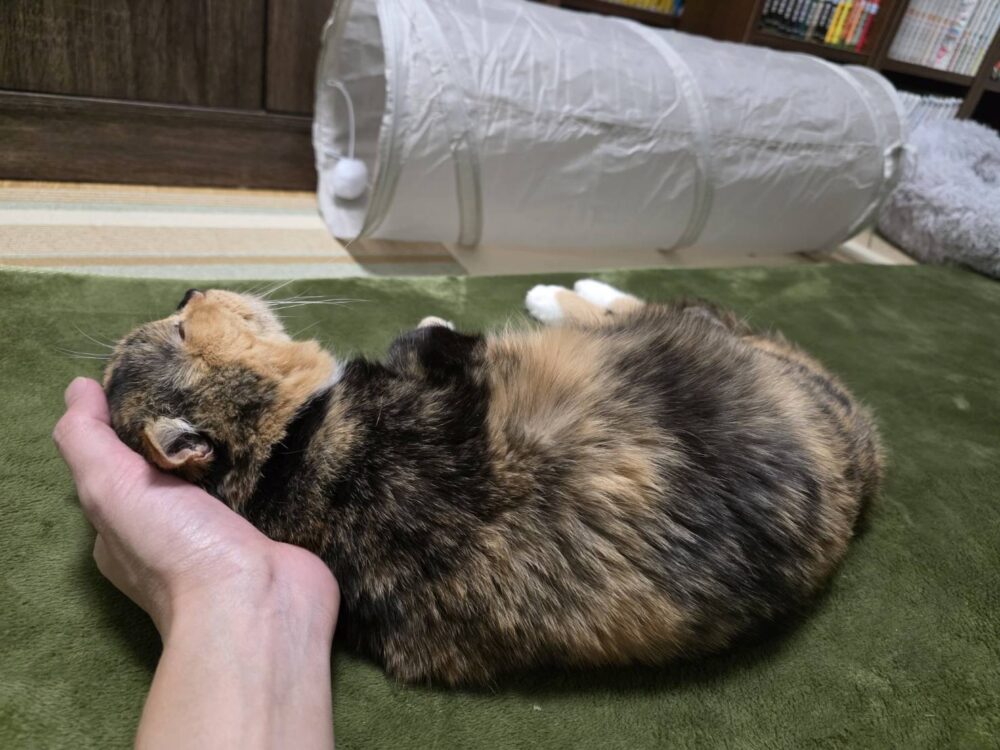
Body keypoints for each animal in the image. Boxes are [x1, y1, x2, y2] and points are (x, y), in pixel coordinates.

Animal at [103, 279, 882, 686]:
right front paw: (439, 312)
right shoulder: (447, 365)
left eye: (178, 325)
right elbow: (432, 335)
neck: (291, 457)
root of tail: (866, 448)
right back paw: (562, 292)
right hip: (718, 340)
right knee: (649, 309)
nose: (189, 287)